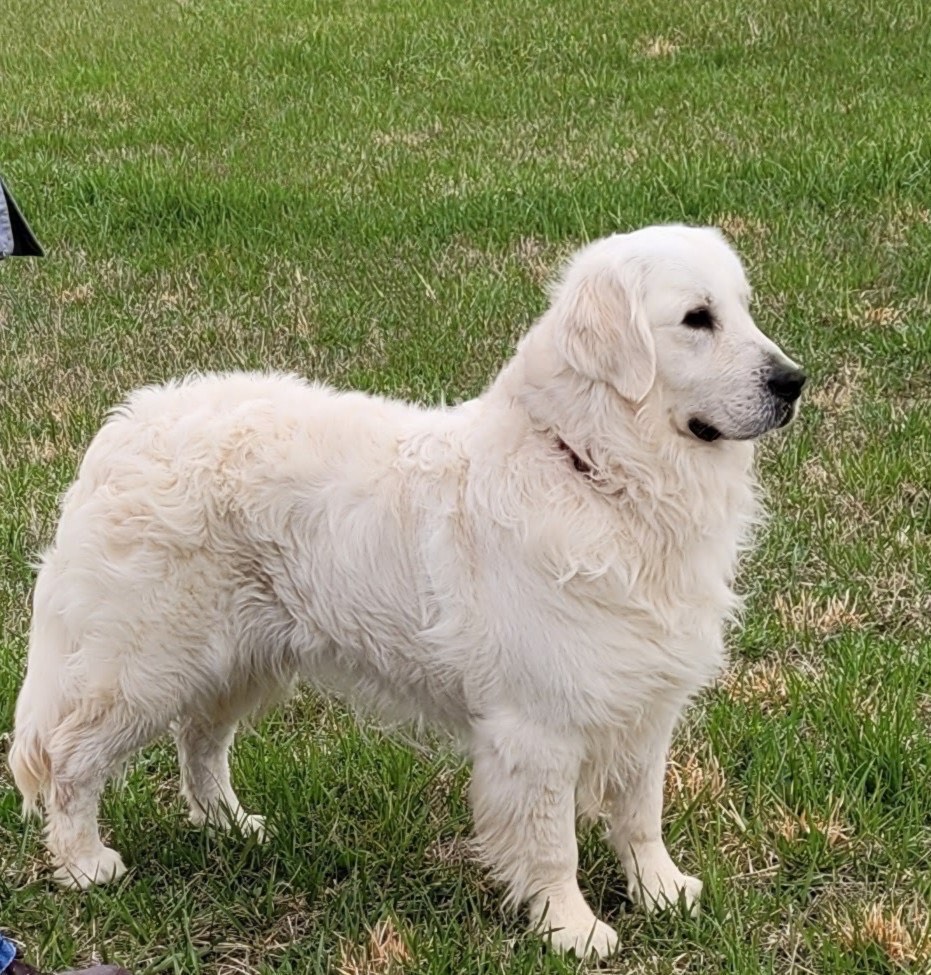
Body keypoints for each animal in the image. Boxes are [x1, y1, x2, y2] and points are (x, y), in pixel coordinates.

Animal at [10, 225, 803, 957]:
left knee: (199, 741)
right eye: (696, 319)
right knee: (72, 757)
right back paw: (84, 864)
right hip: (144, 664)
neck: (595, 470)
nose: (793, 382)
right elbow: (553, 844)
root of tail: (126, 427)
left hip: (238, 655)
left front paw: (661, 891)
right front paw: (571, 928)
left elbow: (641, 814)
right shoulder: (539, 725)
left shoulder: (643, 702)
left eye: (742, 308)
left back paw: (231, 826)